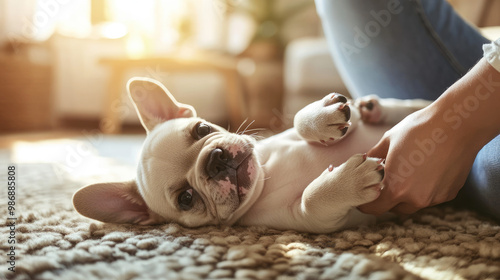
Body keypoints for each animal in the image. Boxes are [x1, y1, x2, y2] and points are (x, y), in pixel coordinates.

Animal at [72, 77, 432, 233]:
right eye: (186, 199)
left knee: (418, 105)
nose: (215, 160)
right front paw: (350, 182)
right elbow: (313, 200)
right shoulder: (313, 221)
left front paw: (323, 118)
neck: (266, 176)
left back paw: (377, 107)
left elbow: (300, 119)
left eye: (201, 129)